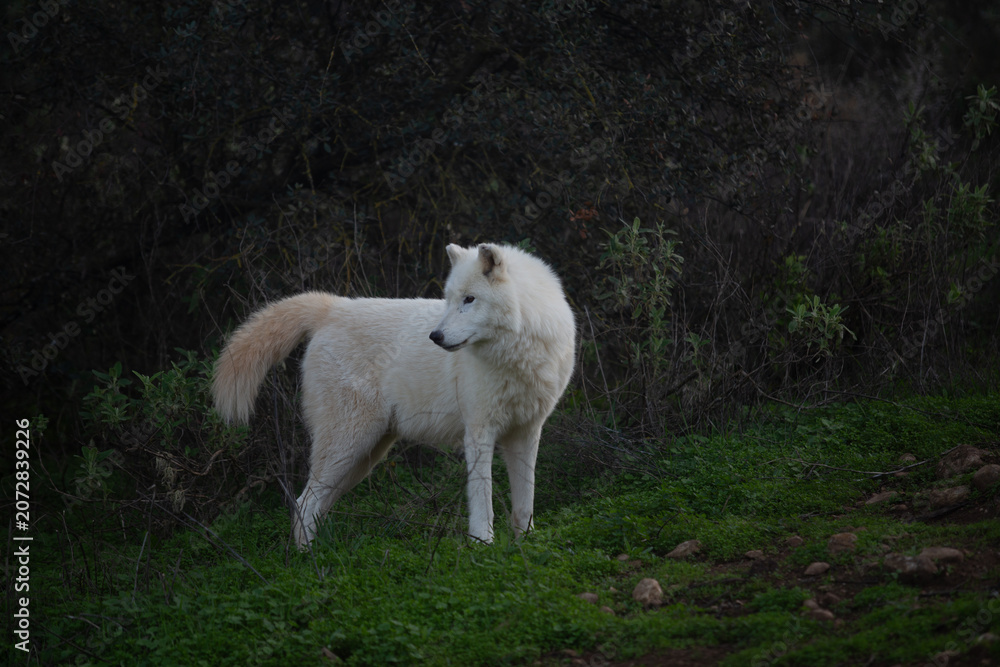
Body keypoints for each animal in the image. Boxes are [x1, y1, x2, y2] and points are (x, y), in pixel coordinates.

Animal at [211, 243, 576, 547]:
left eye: (469, 299)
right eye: (449, 299)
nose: (435, 336)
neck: (519, 354)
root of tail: (333, 307)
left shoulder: (527, 433)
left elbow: (524, 503)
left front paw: (525, 545)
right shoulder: (478, 432)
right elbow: (482, 500)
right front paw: (482, 547)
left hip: (364, 456)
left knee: (314, 506)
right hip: (349, 444)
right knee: (303, 503)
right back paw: (308, 566)